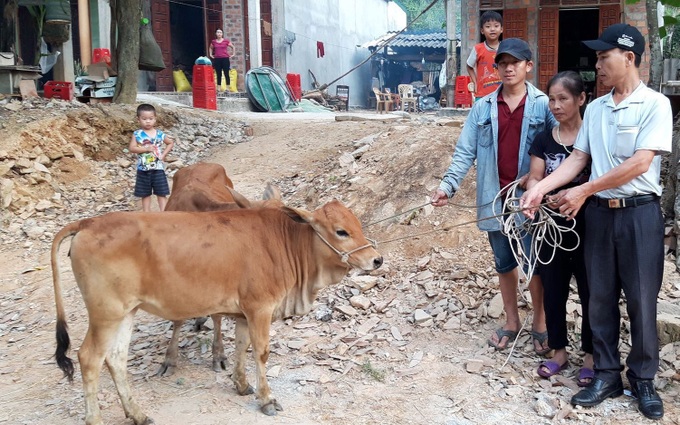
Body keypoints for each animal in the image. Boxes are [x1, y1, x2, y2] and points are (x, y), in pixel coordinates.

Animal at [53, 200, 382, 424]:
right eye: (341, 231)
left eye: (357, 224)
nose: (376, 259)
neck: (286, 243)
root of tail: (87, 223)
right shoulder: (260, 307)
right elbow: (261, 352)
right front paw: (267, 399)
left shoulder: (244, 312)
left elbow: (241, 346)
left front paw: (242, 384)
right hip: (105, 314)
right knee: (89, 358)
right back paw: (96, 418)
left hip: (126, 313)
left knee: (116, 359)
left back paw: (137, 414)